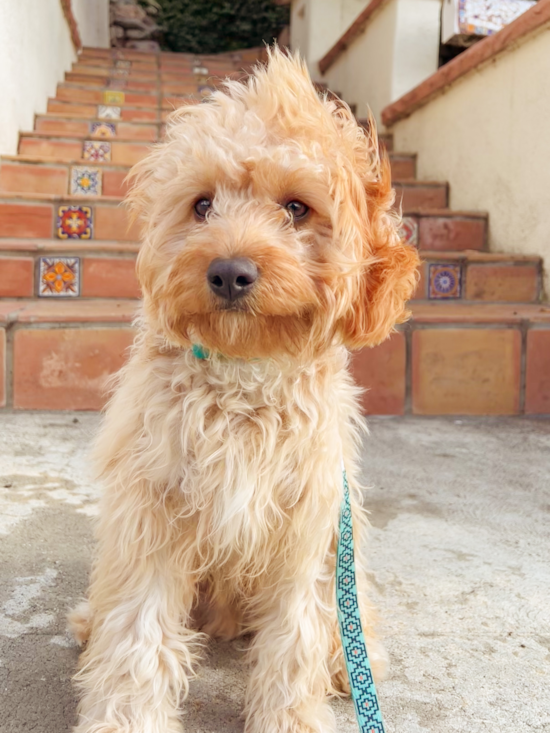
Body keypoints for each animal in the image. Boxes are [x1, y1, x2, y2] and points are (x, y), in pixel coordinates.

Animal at [68, 48, 418, 728]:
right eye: (202, 205)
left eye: (297, 208)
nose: (229, 272)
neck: (243, 382)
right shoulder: (153, 514)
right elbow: (138, 635)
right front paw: (124, 718)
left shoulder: (307, 528)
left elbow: (296, 638)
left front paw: (291, 718)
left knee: (344, 618)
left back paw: (350, 662)